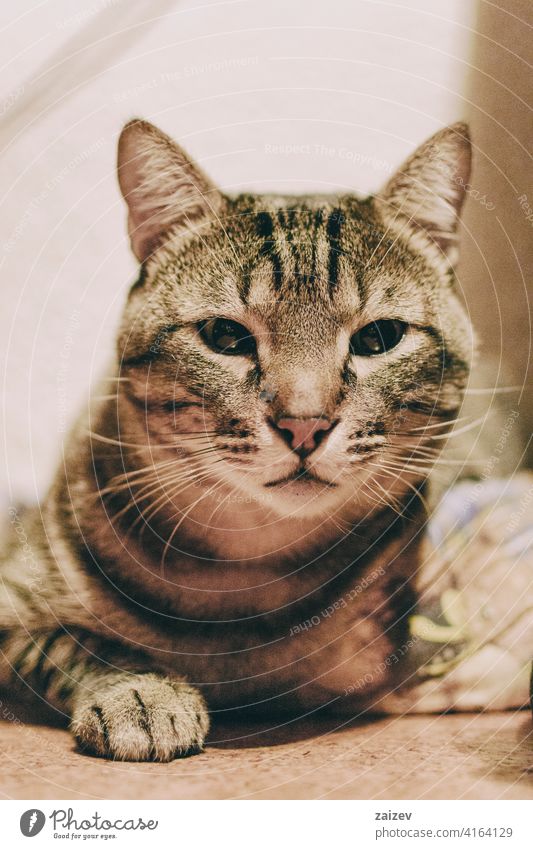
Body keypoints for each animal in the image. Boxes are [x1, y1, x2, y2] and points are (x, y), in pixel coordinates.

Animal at [2, 121, 528, 760]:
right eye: (225, 336)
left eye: (379, 338)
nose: (305, 423)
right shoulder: (13, 605)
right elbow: (78, 643)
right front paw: (142, 694)